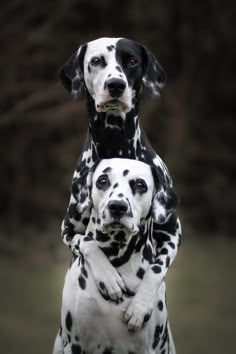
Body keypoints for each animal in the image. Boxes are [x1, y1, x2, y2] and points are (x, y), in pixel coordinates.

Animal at [53, 158, 178, 354]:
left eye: (140, 185)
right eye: (102, 180)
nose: (117, 207)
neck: (118, 256)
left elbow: (156, 269)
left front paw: (140, 306)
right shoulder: (74, 342)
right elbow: (87, 241)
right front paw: (109, 279)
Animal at [58, 36, 181, 282]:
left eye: (132, 61)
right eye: (96, 61)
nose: (116, 85)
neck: (114, 144)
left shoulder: (173, 234)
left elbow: (155, 268)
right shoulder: (68, 230)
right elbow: (87, 242)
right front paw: (107, 276)